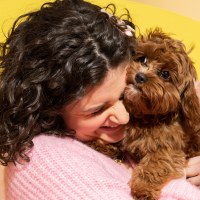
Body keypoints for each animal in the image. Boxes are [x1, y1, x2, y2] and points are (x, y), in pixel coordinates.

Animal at [122, 28, 200, 200]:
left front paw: (143, 188)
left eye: (165, 74)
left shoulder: (169, 149)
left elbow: (156, 164)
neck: (148, 117)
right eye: (143, 59)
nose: (140, 76)